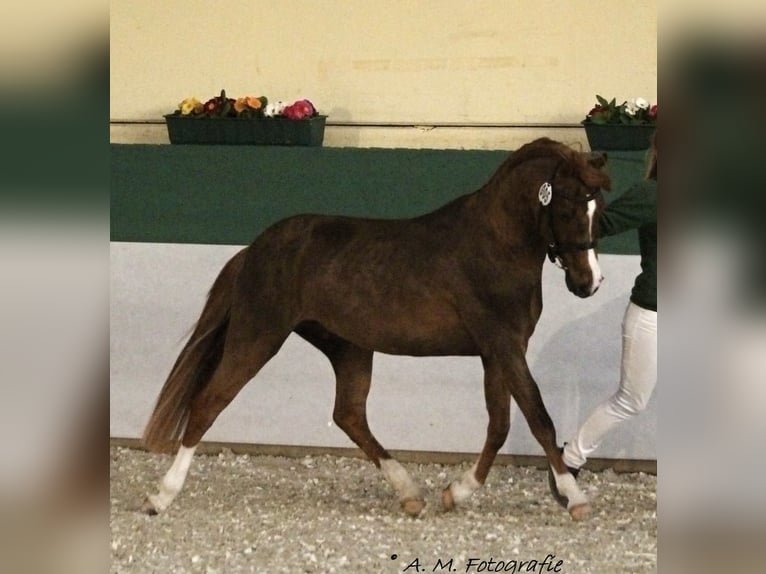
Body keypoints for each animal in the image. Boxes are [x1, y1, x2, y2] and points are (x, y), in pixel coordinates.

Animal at [141, 138, 608, 520]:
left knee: (349, 415)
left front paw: (455, 493)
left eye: (597, 208)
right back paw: (160, 497)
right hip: (258, 336)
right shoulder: (504, 346)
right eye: (567, 205)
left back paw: (411, 494)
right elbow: (538, 418)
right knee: (208, 403)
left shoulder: (497, 352)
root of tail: (253, 249)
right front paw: (574, 499)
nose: (589, 283)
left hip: (347, 347)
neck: (496, 244)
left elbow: (500, 425)